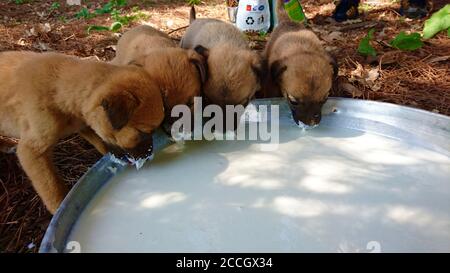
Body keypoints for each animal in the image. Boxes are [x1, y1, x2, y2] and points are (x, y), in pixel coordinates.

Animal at [0, 51, 165, 212]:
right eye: (142, 132)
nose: (149, 158)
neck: (59, 90)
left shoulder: (83, 124)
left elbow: (101, 142)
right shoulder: (32, 152)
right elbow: (53, 189)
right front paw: (59, 208)